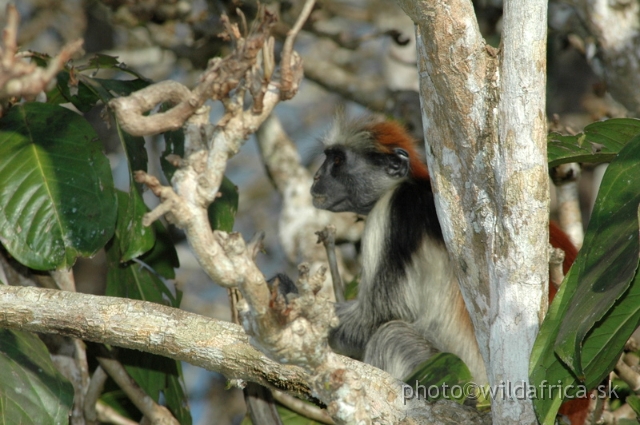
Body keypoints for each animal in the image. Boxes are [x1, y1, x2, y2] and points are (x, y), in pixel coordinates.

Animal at [312, 115, 580, 384]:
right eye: (328, 157)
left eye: (337, 160)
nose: (315, 177)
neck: (416, 183)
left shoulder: (396, 207)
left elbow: (378, 318)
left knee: (392, 336)